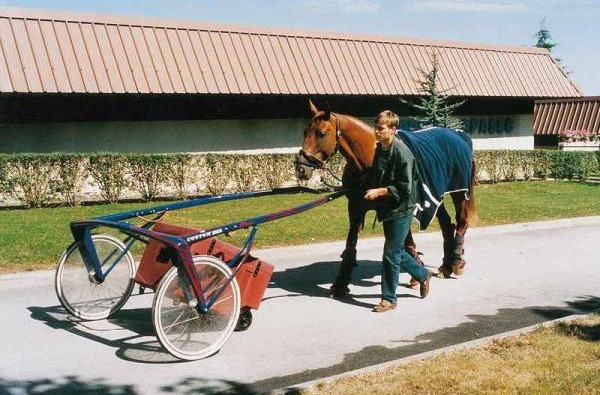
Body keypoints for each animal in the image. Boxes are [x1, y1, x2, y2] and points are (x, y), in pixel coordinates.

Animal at [296, 102, 478, 296]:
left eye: (321, 133)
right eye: (305, 131)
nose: (300, 168)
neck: (369, 160)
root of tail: (461, 136)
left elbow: (405, 242)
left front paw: (417, 274)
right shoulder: (356, 207)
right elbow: (351, 243)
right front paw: (341, 282)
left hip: (459, 191)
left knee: (461, 221)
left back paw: (456, 261)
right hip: (437, 195)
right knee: (446, 224)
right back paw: (446, 266)